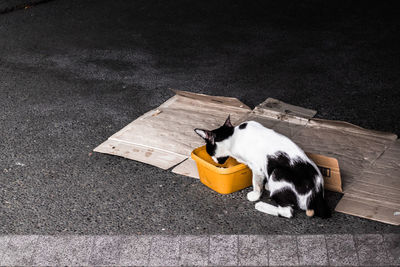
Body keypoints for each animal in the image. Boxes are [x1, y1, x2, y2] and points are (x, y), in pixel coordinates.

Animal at [195, 116, 330, 219]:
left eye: (209, 151)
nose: (214, 160)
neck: (233, 138)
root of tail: (317, 196)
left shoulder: (256, 167)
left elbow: (256, 183)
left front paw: (255, 196)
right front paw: (267, 185)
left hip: (277, 173)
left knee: (287, 212)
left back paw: (261, 205)